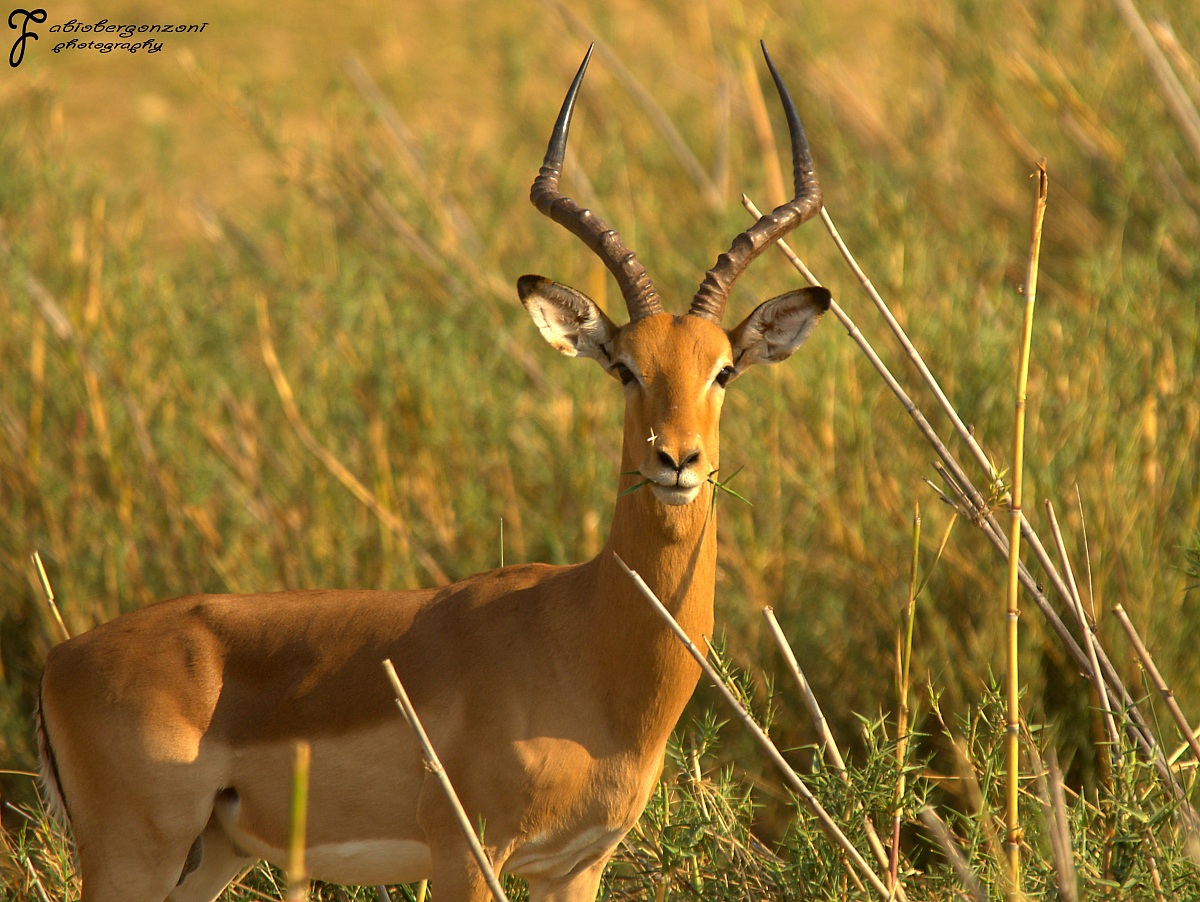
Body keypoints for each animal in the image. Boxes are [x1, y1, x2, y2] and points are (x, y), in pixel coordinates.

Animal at [35, 43, 830, 902]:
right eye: (624, 368)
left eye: (723, 370)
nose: (676, 460)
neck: (586, 637)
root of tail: (59, 660)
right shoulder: (465, 856)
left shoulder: (576, 865)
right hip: (134, 857)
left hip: (208, 858)